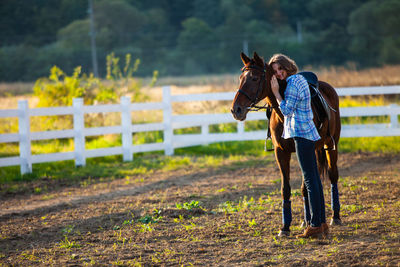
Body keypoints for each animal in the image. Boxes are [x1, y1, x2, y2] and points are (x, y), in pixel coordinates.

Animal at [231, 51, 340, 237]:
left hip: (331, 146)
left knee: (333, 176)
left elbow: (305, 186)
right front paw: (285, 226)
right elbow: (286, 188)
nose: (235, 110)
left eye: (254, 78)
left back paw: (335, 217)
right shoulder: (281, 152)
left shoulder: (306, 149)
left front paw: (307, 222)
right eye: (240, 78)